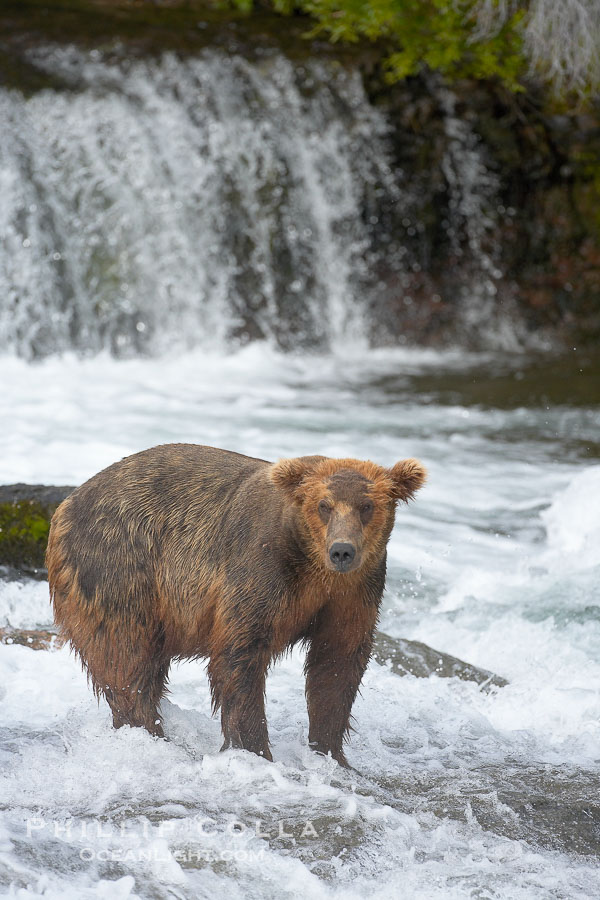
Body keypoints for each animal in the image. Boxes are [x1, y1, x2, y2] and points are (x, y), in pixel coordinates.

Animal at [47, 444, 426, 767]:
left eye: (367, 506)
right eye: (324, 505)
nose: (342, 550)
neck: (312, 565)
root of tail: (65, 505)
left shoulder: (355, 593)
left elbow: (337, 663)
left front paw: (331, 752)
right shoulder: (263, 567)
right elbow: (240, 654)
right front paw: (255, 749)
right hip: (120, 565)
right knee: (125, 655)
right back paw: (149, 732)